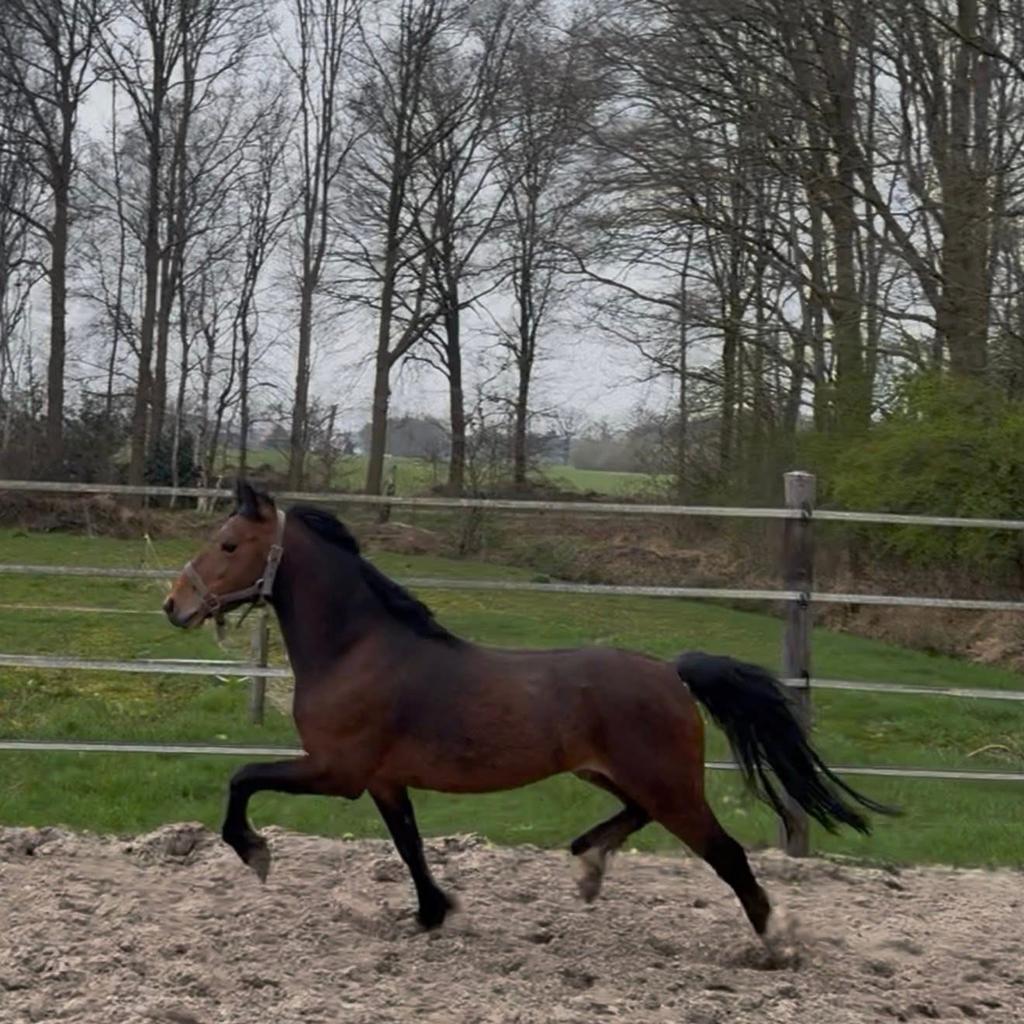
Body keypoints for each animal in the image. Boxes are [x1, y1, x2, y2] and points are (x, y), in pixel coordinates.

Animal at [163, 481, 895, 947]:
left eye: (228, 545)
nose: (175, 605)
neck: (357, 649)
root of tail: (672, 672)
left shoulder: (336, 771)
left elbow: (242, 779)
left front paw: (255, 853)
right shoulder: (383, 781)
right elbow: (409, 845)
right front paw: (432, 914)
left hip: (669, 783)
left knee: (727, 853)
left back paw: (775, 943)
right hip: (619, 774)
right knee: (640, 817)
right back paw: (589, 864)